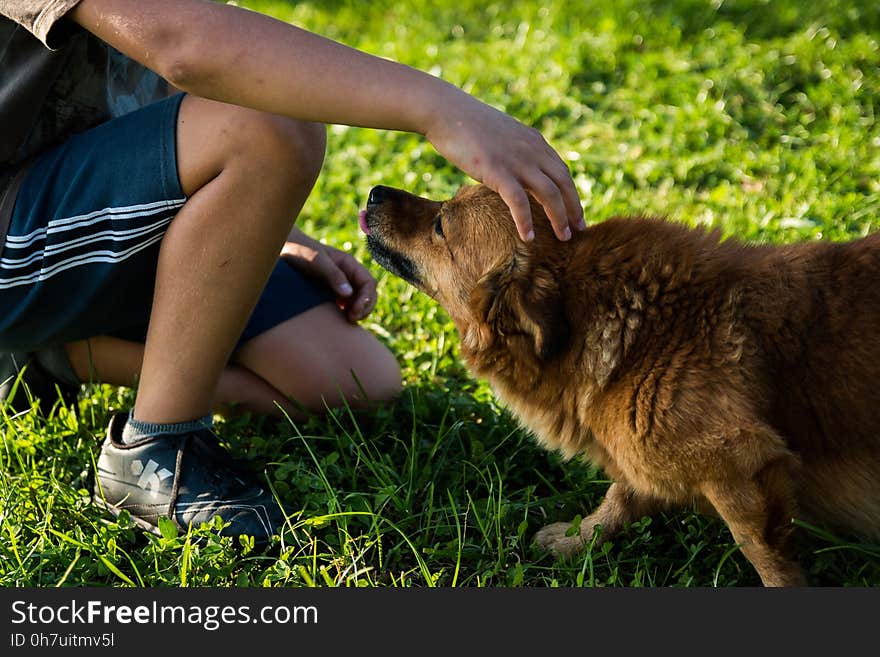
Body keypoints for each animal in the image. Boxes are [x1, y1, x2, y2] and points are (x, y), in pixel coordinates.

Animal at [360, 182, 880, 588]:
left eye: (440, 224)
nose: (374, 192)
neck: (640, 331)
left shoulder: (740, 465)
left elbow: (763, 555)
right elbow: (620, 497)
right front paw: (578, 540)